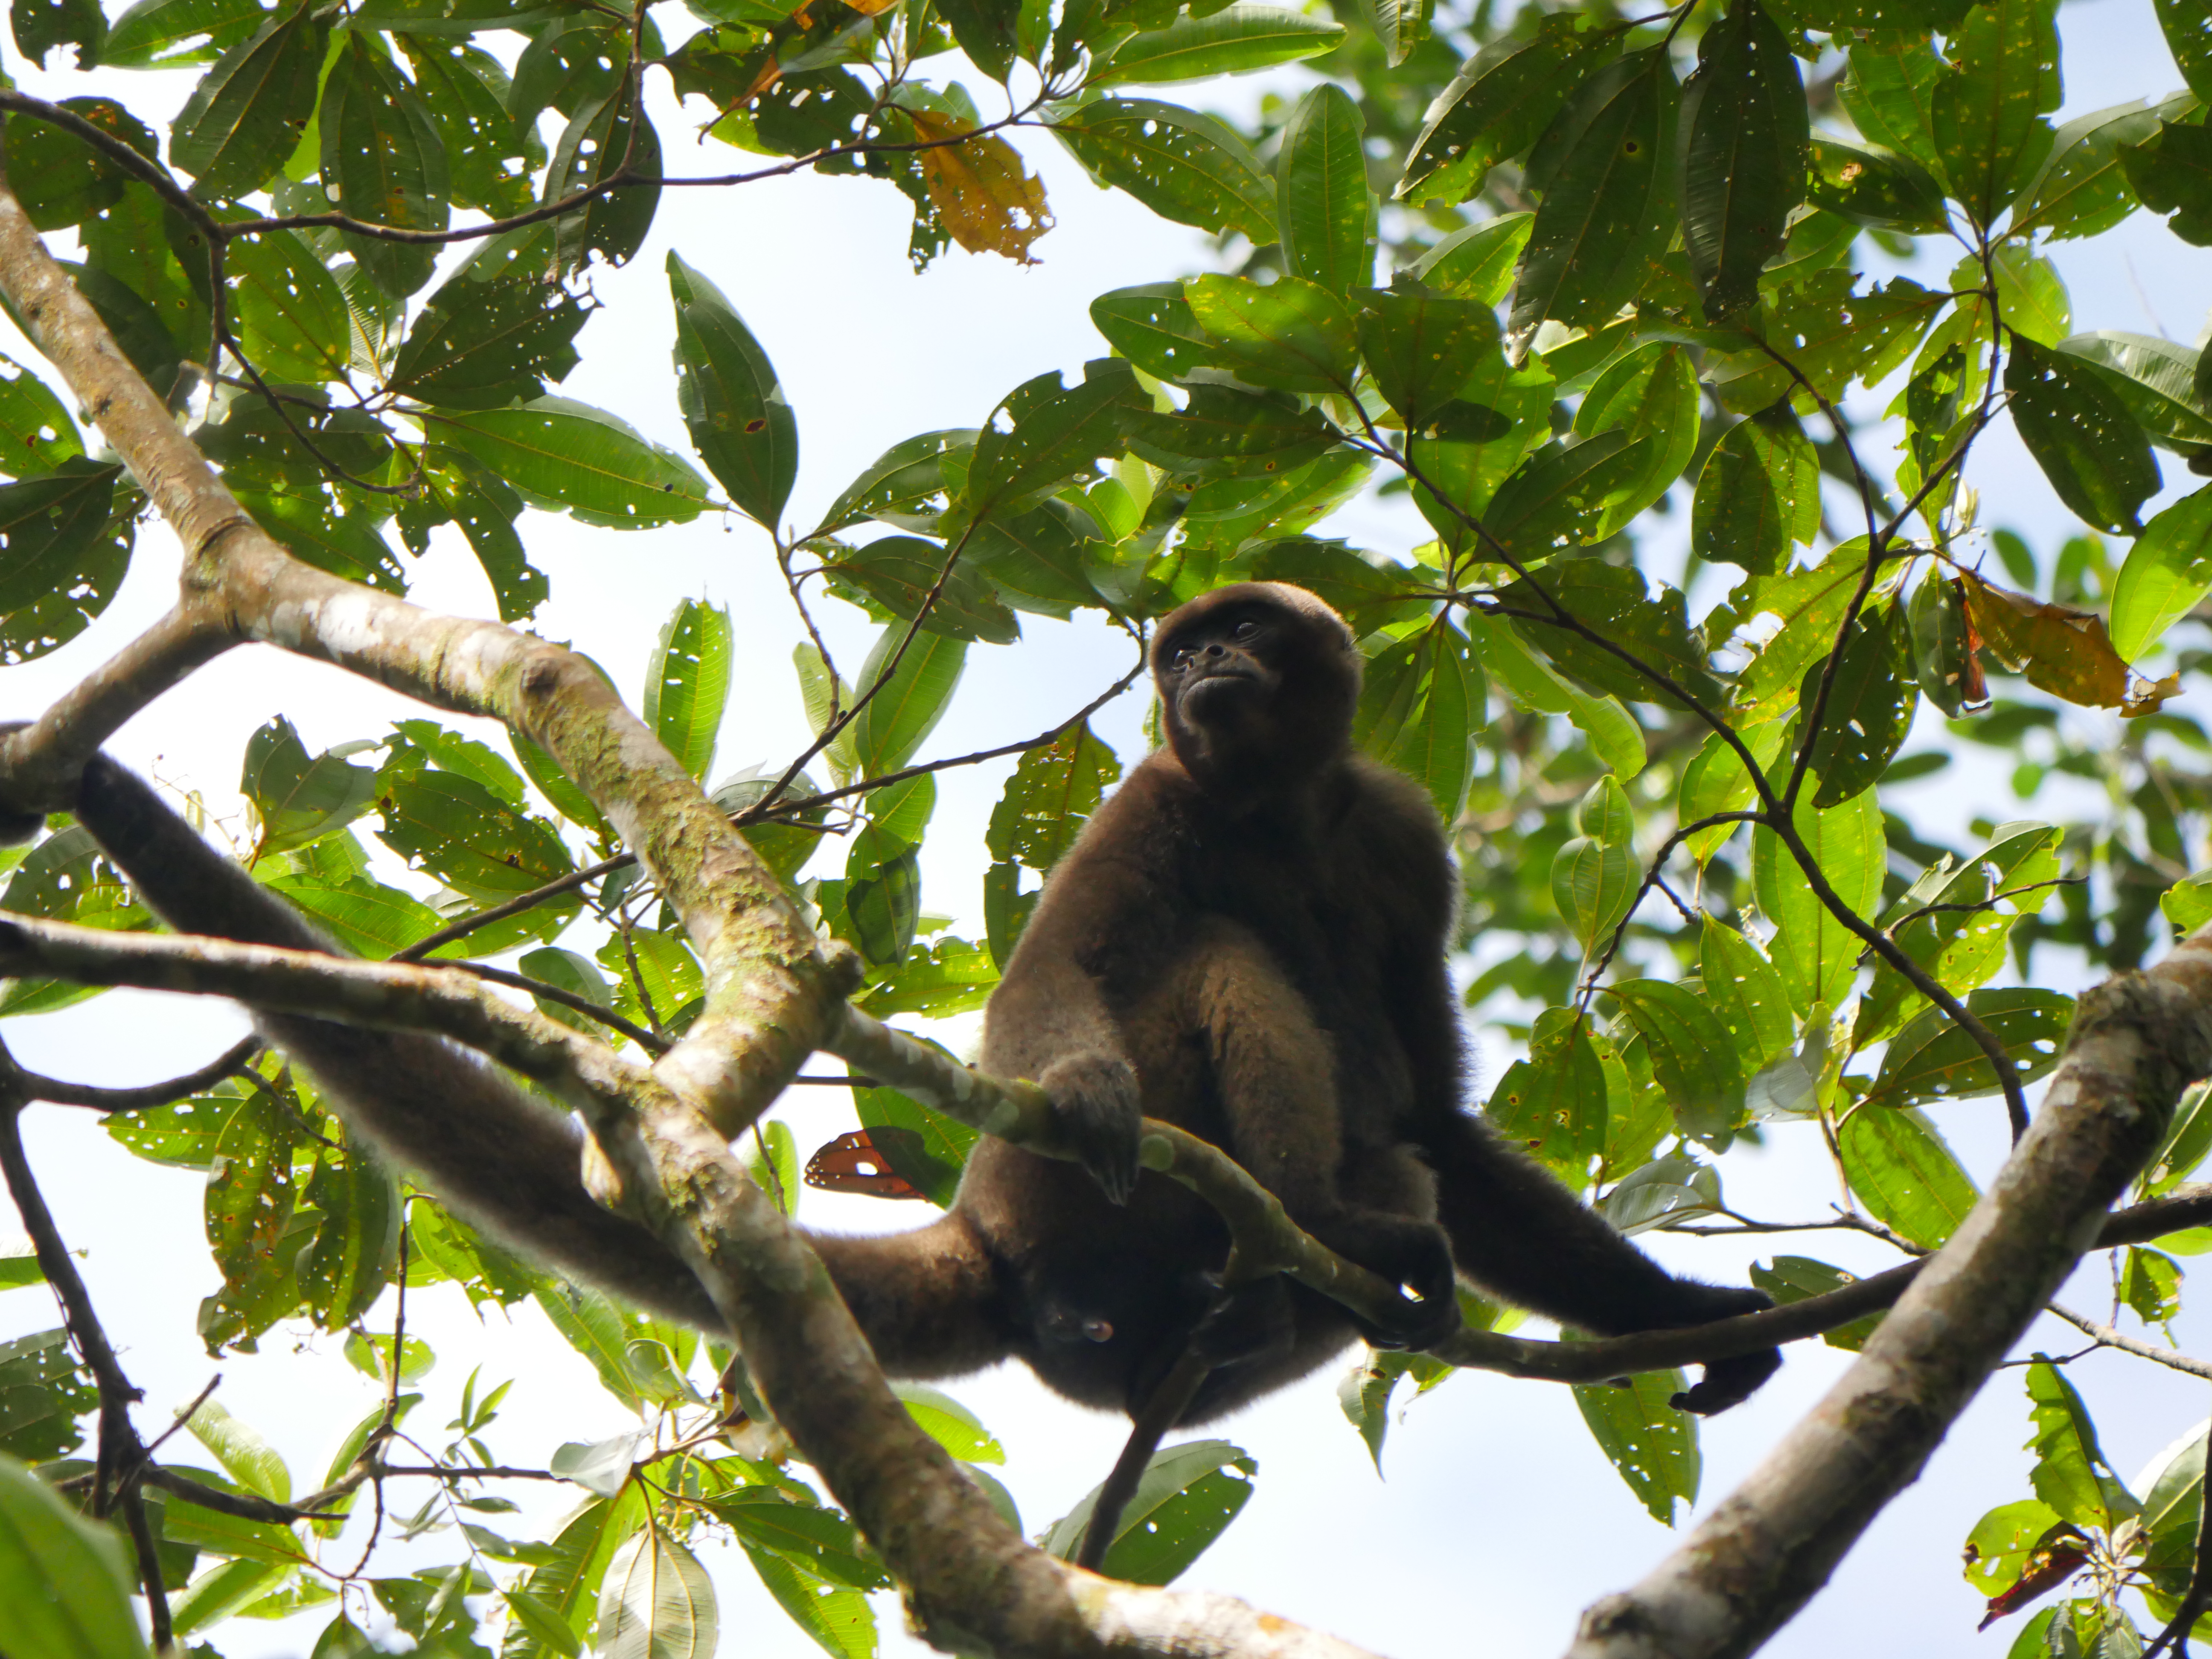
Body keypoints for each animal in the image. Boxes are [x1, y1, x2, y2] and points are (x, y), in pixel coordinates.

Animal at [31, 581, 1778, 1429]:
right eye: (1184, 657)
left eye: (1239, 641)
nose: (1199, 668)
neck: (1274, 806)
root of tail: (991, 1239)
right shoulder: (1153, 793)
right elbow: (1059, 977)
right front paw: (1089, 1087)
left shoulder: (1399, 830)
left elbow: (1443, 1114)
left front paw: (1680, 1312)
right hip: (1077, 1224)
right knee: (1214, 963)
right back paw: (1312, 1222)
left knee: (1401, 1155)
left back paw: (1319, 1268)